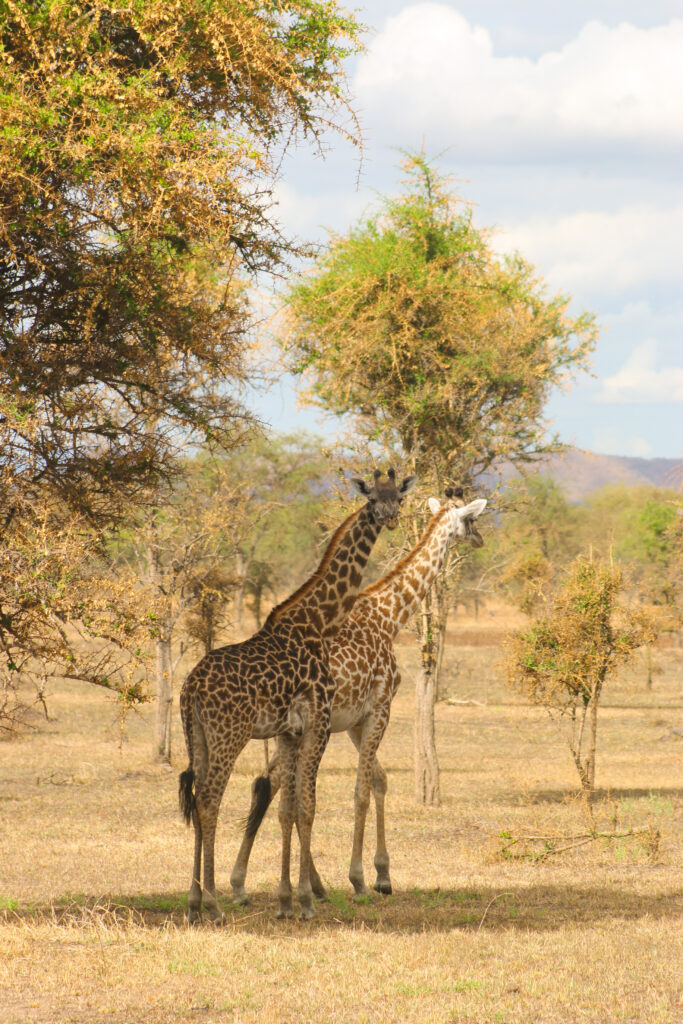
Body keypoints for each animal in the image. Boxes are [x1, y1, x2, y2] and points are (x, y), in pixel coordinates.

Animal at [178, 469, 416, 923]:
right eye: (372, 498)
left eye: (399, 498)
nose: (390, 518)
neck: (316, 623)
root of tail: (191, 687)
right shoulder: (318, 722)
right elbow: (308, 805)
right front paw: (306, 900)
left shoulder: (290, 732)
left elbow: (289, 807)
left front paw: (288, 900)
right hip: (229, 734)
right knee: (210, 801)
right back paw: (213, 903)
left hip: (196, 735)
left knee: (197, 799)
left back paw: (195, 901)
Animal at [230, 488, 487, 903]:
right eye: (472, 519)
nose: (480, 539)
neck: (390, 616)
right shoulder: (380, 708)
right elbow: (361, 791)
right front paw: (360, 879)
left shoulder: (352, 720)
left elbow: (379, 780)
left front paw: (384, 875)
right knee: (278, 785)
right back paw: (298, 884)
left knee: (267, 783)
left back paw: (250, 883)